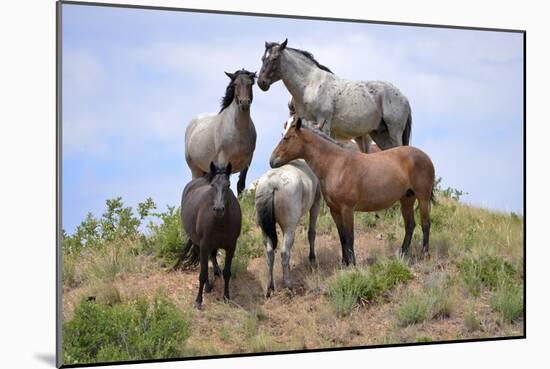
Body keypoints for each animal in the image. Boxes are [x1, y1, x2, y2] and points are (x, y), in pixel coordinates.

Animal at [177, 161, 242, 308]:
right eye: (213, 185)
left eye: (228, 185)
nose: (218, 209)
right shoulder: (204, 245)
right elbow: (202, 273)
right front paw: (198, 301)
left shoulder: (231, 246)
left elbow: (227, 272)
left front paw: (226, 297)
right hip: (198, 244)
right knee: (204, 265)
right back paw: (207, 287)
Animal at [256, 130, 322, 296]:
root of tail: (271, 184)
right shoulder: (316, 203)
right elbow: (312, 232)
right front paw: (312, 258)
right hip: (289, 227)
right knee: (284, 252)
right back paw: (288, 285)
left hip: (264, 228)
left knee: (269, 252)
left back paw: (270, 287)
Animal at [260, 38, 414, 151]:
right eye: (263, 59)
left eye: (275, 58)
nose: (262, 82)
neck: (309, 85)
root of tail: (404, 97)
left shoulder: (324, 122)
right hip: (380, 135)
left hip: (394, 132)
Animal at [270, 116, 436, 264]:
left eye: (288, 138)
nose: (272, 160)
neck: (336, 164)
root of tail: (425, 156)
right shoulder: (335, 210)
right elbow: (342, 236)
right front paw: (345, 262)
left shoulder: (347, 209)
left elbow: (350, 237)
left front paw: (353, 263)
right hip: (406, 199)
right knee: (410, 225)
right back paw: (402, 253)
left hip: (423, 198)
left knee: (425, 224)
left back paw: (425, 254)